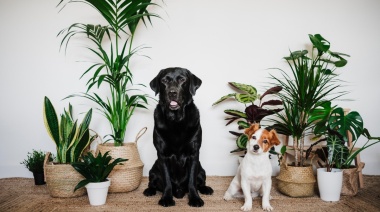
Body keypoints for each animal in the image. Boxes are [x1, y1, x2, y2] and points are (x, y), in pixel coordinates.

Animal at [142, 67, 214, 206]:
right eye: (164, 81)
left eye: (182, 80)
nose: (172, 92)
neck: (176, 121)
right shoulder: (162, 155)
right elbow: (167, 181)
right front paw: (166, 198)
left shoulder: (194, 154)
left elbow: (192, 181)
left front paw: (195, 199)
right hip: (153, 170)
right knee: (152, 182)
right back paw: (149, 190)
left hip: (202, 170)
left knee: (201, 181)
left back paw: (206, 189)